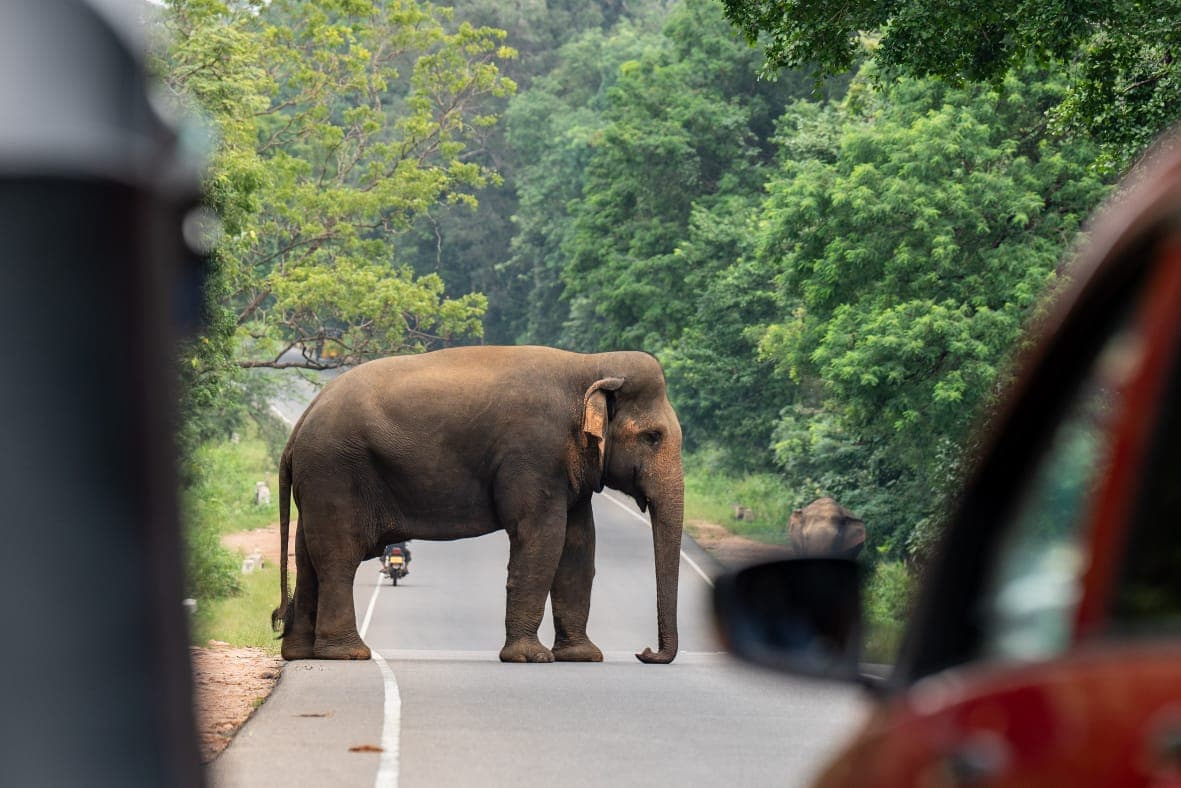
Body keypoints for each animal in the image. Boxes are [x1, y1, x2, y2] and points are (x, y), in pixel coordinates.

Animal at [271, 345, 684, 664]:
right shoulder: (532, 456)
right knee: (338, 557)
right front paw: (530, 658)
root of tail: (299, 426)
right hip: (335, 473)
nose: (645, 652)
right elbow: (542, 539)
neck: (590, 365)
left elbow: (579, 546)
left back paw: (300, 654)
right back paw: (349, 654)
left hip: (319, 481)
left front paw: (582, 657)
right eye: (652, 436)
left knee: (307, 556)